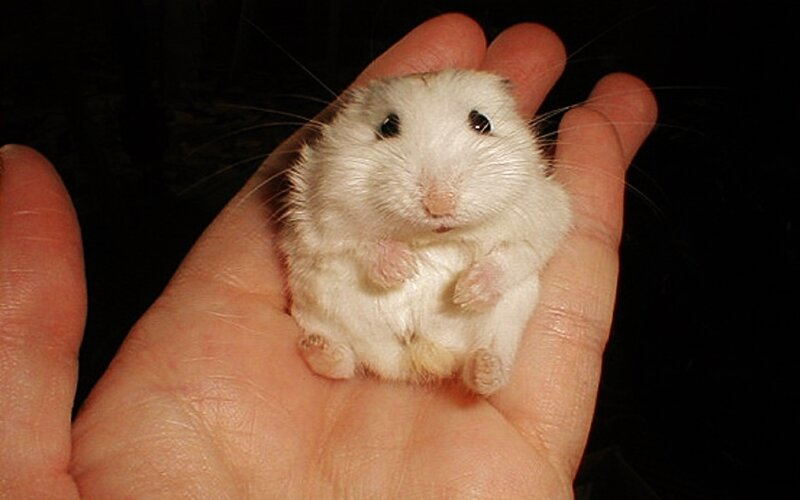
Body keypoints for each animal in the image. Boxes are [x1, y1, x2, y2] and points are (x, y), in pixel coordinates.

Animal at [279, 69, 571, 396]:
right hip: (317, 309)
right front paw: (404, 269)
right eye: (387, 126)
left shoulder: (545, 217)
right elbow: (359, 245)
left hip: (508, 319)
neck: (433, 237)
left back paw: (485, 367)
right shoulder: (320, 218)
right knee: (343, 363)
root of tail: (412, 363)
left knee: (487, 365)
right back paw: (318, 347)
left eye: (482, 122)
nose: (439, 204)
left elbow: (515, 255)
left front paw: (465, 292)